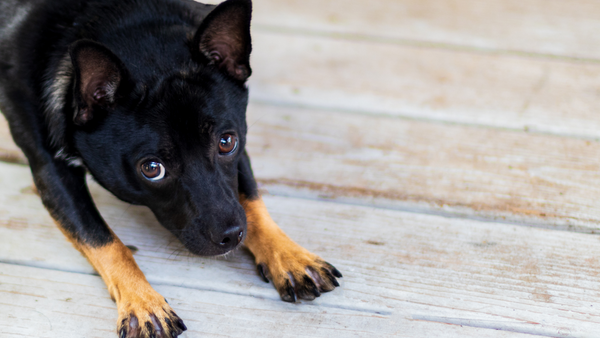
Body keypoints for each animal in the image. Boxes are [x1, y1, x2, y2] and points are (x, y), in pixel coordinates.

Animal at [0, 0, 340, 336]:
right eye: (152, 168)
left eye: (227, 142)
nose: (232, 236)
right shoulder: (52, 171)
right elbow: (102, 239)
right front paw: (143, 303)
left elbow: (251, 199)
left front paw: (288, 256)